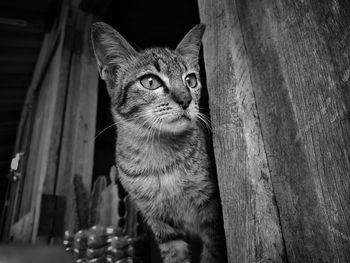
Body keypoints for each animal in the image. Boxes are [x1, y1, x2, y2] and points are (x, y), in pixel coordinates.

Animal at [90, 21, 227, 262]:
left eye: (191, 80)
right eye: (150, 81)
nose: (185, 99)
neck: (158, 155)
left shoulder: (213, 218)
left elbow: (212, 254)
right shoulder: (161, 224)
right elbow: (174, 256)